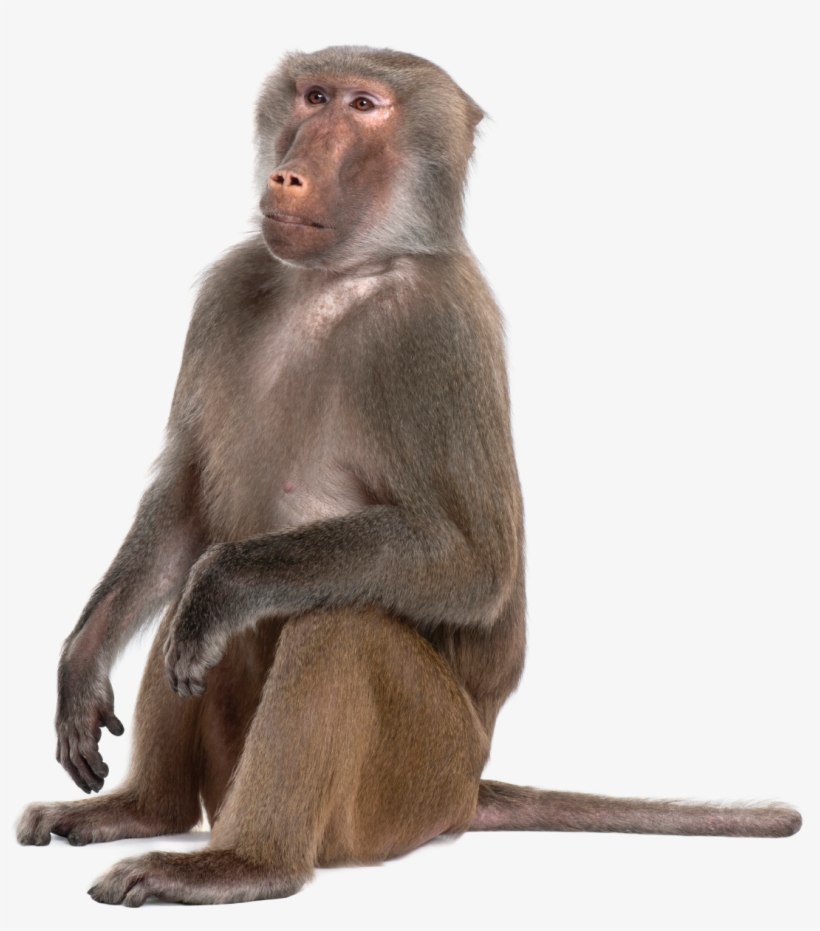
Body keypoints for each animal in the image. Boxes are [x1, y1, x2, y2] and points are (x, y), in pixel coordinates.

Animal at [16, 46, 801, 907]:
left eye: (365, 106)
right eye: (314, 96)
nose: (290, 174)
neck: (339, 275)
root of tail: (467, 787)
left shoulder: (435, 330)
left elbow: (472, 563)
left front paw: (226, 584)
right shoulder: (229, 288)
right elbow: (187, 506)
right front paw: (82, 665)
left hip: (411, 782)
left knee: (339, 621)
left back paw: (243, 863)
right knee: (191, 604)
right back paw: (143, 810)